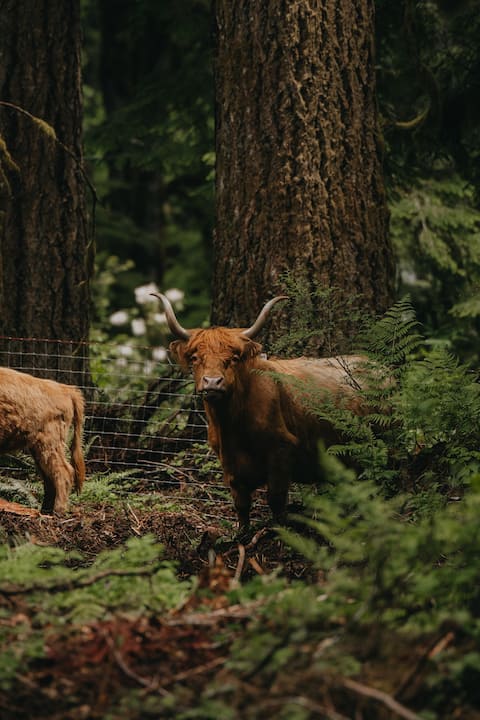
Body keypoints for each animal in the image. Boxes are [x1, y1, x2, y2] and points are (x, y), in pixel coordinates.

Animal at [0, 367, 86, 514]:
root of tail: (65, 389)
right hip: (38, 448)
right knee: (49, 478)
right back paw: (45, 511)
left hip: (49, 443)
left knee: (63, 471)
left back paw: (58, 511)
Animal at [154, 293, 367, 530]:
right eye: (195, 358)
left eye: (233, 358)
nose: (212, 382)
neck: (232, 426)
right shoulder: (229, 464)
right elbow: (241, 504)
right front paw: (242, 533)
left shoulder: (280, 452)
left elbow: (275, 499)